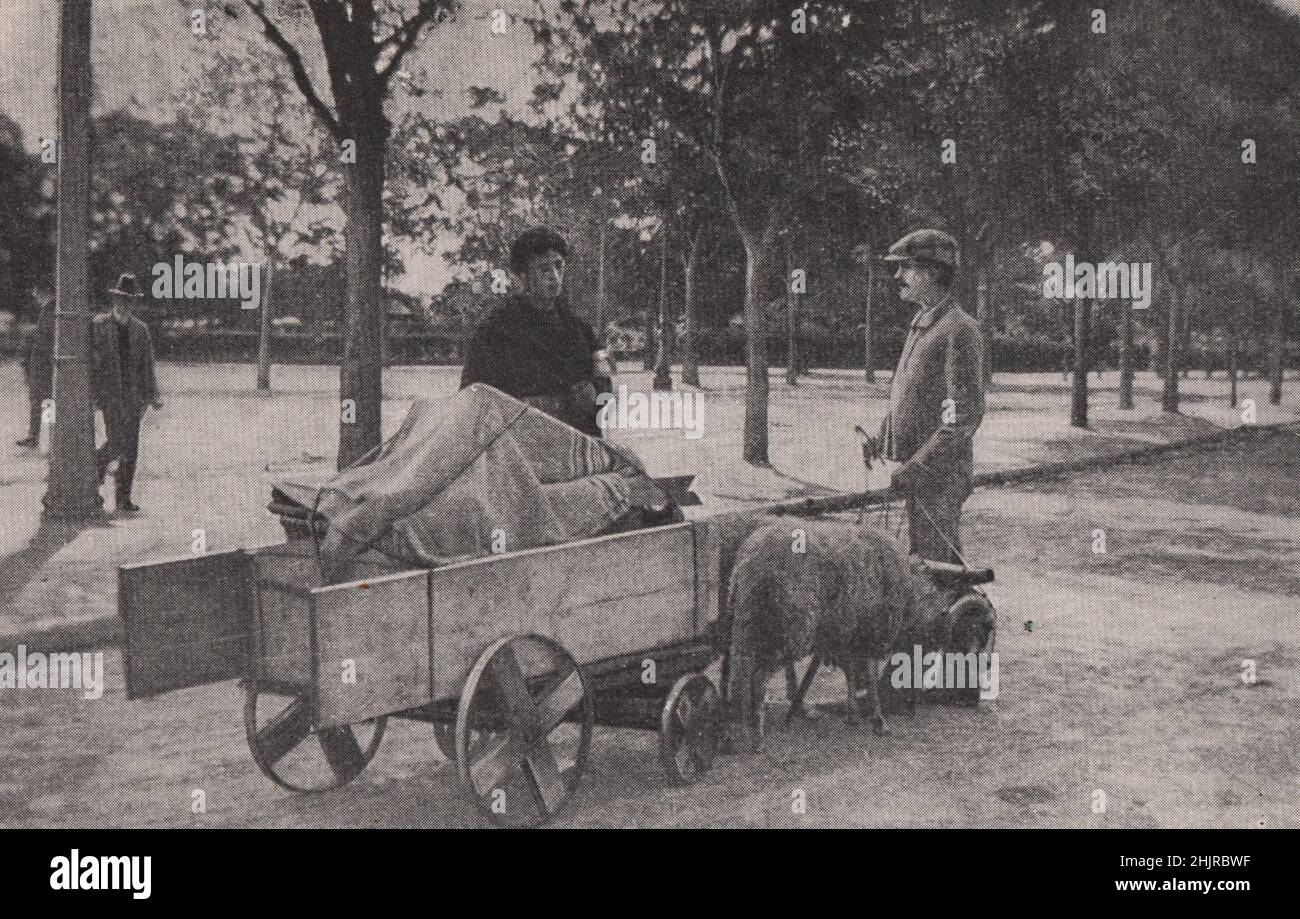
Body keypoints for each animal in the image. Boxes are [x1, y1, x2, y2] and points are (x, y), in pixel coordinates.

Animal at [722, 517, 993, 753]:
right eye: (973, 628)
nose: (986, 665)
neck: (911, 594)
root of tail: (749, 563)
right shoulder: (874, 633)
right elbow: (870, 676)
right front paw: (879, 721)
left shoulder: (850, 636)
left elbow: (851, 674)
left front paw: (852, 716)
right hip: (785, 632)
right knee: (757, 680)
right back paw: (758, 740)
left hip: (745, 626)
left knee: (740, 674)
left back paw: (744, 725)